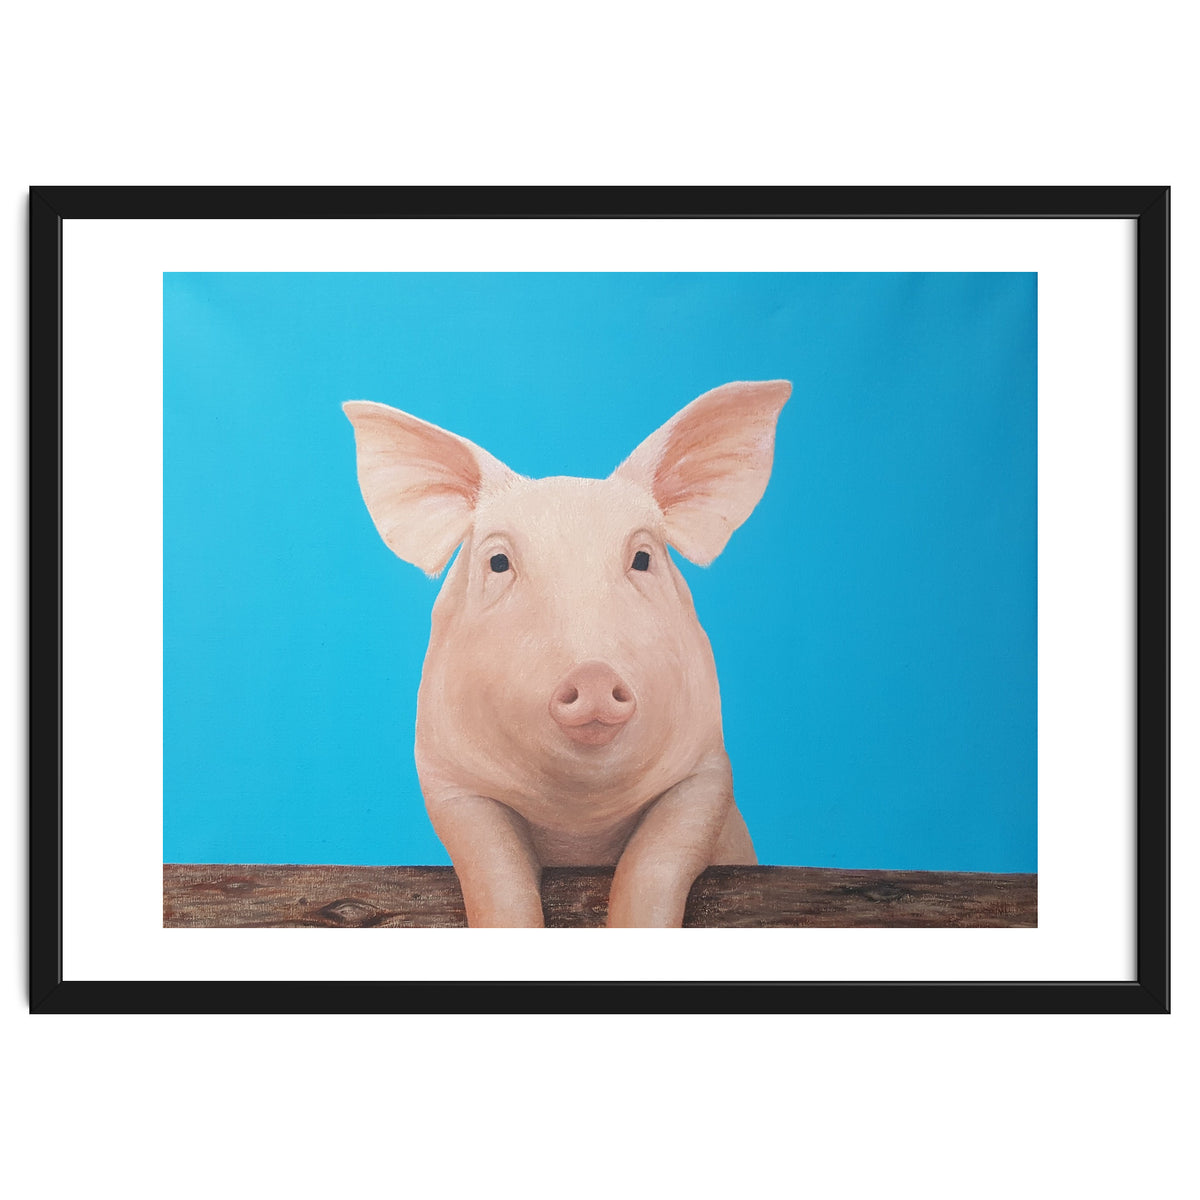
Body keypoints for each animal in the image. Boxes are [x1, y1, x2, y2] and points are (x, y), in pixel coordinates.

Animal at [343, 379, 790, 927]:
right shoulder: (448, 780)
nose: (594, 674)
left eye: (643, 558)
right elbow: (495, 871)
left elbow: (655, 862)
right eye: (498, 562)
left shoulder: (707, 770)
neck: (578, 820)